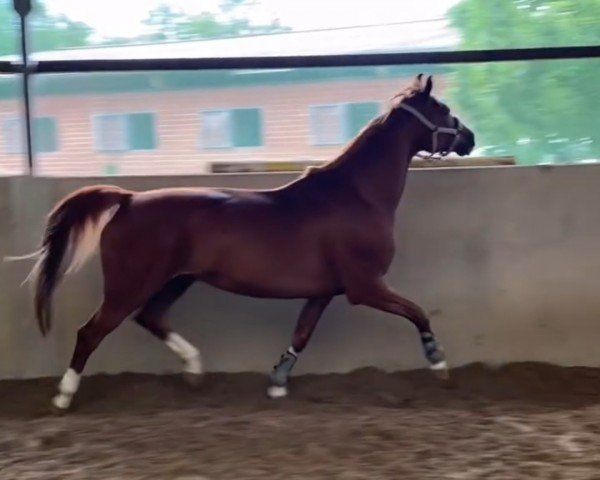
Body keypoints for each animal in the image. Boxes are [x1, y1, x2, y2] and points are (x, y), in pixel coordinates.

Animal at [5, 73, 474, 410]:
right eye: (443, 108)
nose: (469, 138)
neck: (356, 194)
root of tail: (129, 199)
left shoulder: (324, 291)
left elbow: (302, 334)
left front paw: (278, 383)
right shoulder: (366, 287)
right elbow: (418, 313)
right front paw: (439, 362)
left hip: (176, 279)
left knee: (150, 318)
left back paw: (195, 369)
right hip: (129, 285)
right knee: (91, 332)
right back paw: (63, 396)